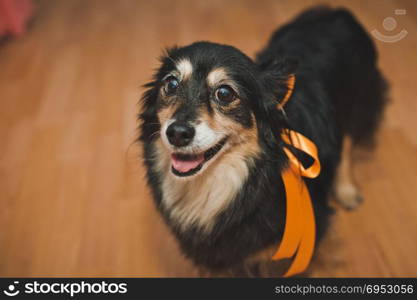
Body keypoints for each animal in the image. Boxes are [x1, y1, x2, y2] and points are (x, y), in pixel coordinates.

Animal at [137, 5, 386, 276]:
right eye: (171, 84)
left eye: (224, 93)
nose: (177, 133)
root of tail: (337, 12)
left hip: (357, 104)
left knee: (348, 143)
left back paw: (347, 190)